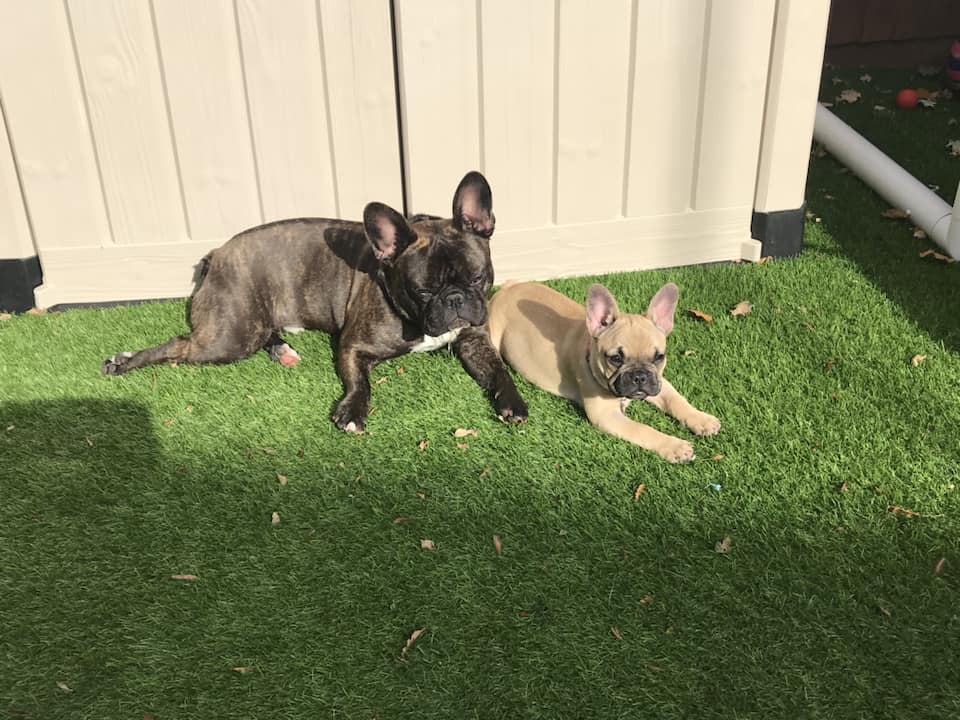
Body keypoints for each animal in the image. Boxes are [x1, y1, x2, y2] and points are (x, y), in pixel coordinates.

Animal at [492, 282, 716, 462]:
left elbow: (676, 400)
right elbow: (642, 429)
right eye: (616, 358)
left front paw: (701, 419)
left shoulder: (659, 383)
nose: (640, 376)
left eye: (658, 357)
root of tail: (508, 287)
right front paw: (674, 446)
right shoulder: (605, 415)